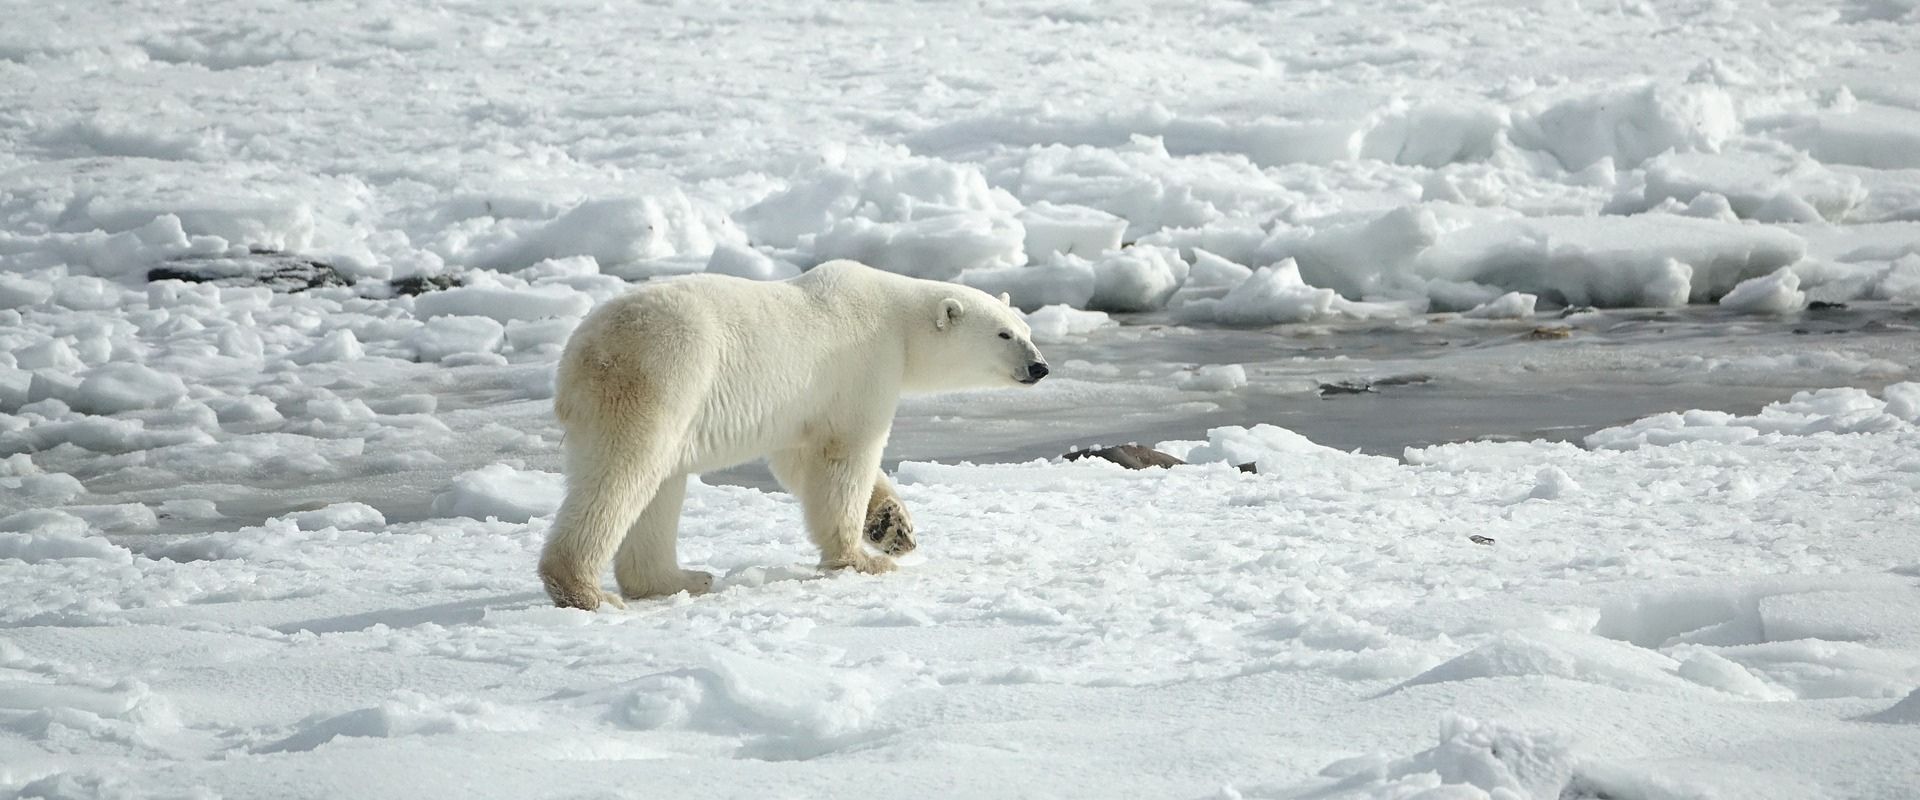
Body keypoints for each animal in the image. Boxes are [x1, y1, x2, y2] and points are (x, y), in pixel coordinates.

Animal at [537, 258, 1052, 606]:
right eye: (1004, 335)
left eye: (1027, 329)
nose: (1040, 367)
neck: (898, 321)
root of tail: (580, 355)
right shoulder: (861, 366)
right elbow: (846, 456)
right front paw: (863, 558)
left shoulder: (801, 407)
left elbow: (800, 460)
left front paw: (893, 528)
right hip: (661, 375)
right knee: (624, 474)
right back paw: (585, 590)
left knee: (660, 485)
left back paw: (681, 578)